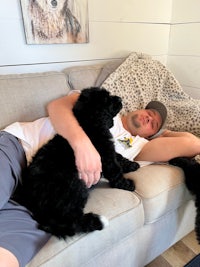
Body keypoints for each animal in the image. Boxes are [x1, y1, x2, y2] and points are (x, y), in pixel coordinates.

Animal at [14, 87, 139, 239]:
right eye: (107, 99)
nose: (120, 99)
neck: (89, 124)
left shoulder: (108, 150)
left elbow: (119, 157)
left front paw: (131, 165)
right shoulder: (105, 156)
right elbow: (115, 170)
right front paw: (127, 184)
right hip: (75, 185)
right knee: (68, 221)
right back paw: (94, 221)